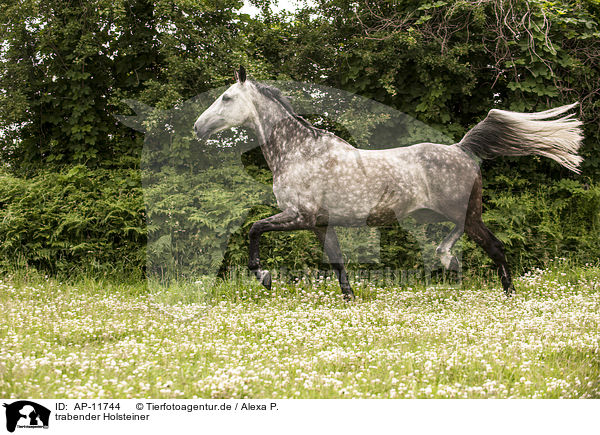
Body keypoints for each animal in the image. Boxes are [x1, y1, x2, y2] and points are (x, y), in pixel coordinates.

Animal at [195, 66, 584, 300]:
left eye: (226, 97)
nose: (198, 127)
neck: (300, 152)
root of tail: (461, 148)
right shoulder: (319, 223)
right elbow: (337, 261)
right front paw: (349, 299)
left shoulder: (299, 216)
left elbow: (254, 229)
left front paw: (263, 276)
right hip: (447, 215)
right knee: (461, 239)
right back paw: (448, 260)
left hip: (467, 215)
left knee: (496, 247)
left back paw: (508, 294)